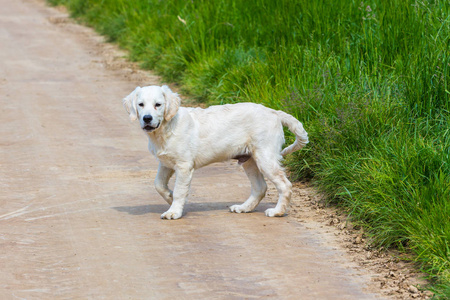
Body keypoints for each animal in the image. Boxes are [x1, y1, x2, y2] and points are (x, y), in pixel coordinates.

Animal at [121, 85, 308, 219]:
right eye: (141, 105)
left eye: (158, 105)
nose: (147, 118)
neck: (165, 129)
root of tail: (273, 112)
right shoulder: (165, 163)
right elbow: (158, 184)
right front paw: (169, 197)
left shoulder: (184, 166)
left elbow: (180, 190)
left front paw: (174, 211)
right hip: (249, 160)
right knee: (260, 187)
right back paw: (243, 208)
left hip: (265, 157)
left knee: (285, 185)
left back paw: (277, 212)